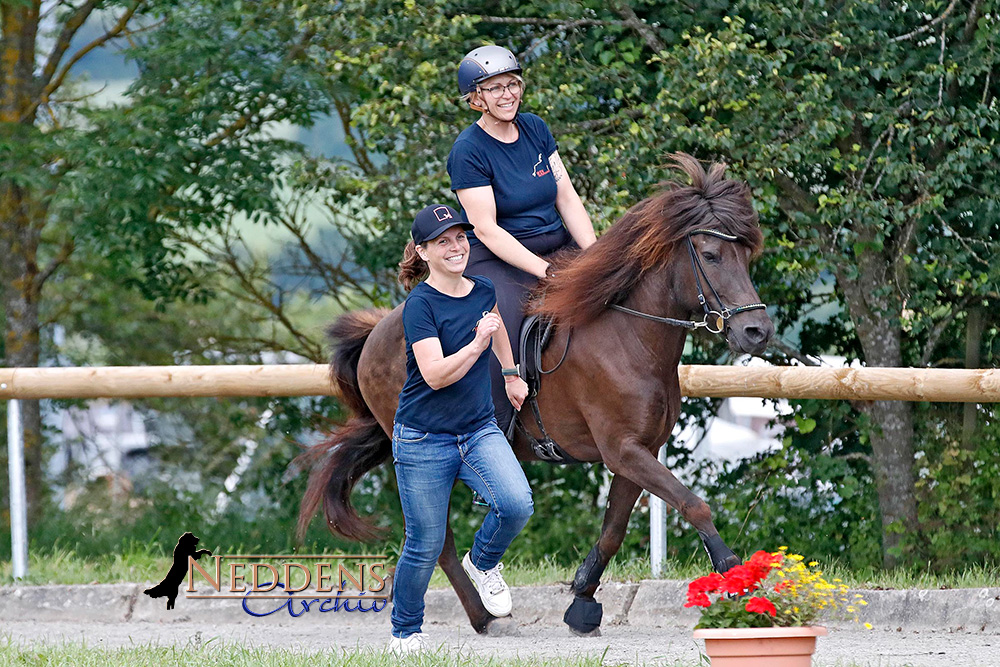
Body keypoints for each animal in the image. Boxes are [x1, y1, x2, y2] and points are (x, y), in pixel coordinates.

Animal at [296, 155, 772, 636]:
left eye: (747, 255)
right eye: (710, 256)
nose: (757, 331)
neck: (628, 336)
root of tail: (377, 332)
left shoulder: (639, 450)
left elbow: (613, 530)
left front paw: (582, 600)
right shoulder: (622, 449)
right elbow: (695, 505)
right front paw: (735, 575)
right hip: (428, 455)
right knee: (438, 540)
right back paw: (483, 615)